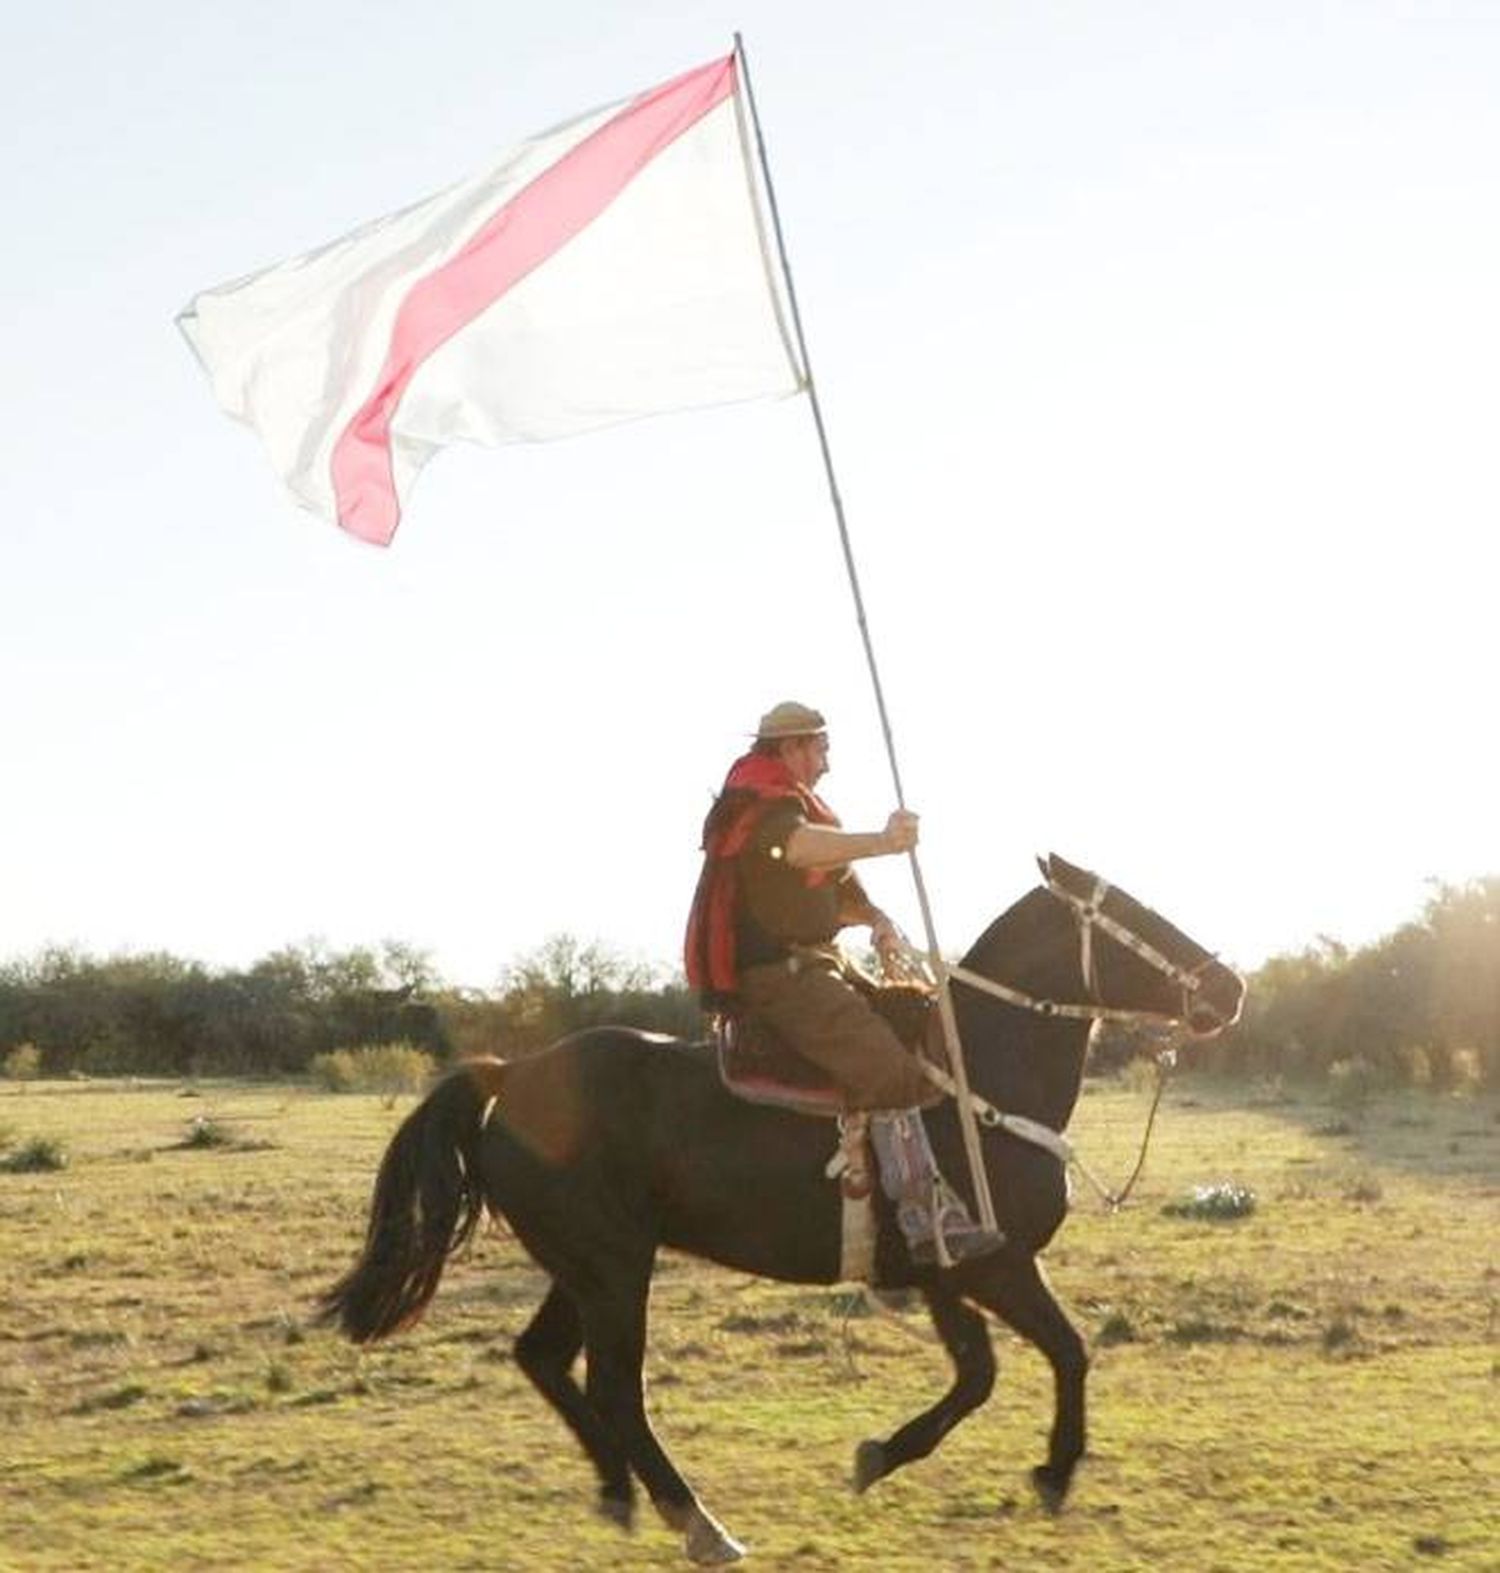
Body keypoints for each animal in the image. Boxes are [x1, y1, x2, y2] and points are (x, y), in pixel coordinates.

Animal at [322, 862, 1245, 1560]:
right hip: (613, 1267)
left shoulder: (943, 1267)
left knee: (542, 1357)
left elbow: (979, 1371)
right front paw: (1054, 1469)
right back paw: (697, 1521)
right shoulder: (996, 1263)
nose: (1230, 986)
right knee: (615, 1385)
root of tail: (511, 1075)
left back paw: (619, 1490)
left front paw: (883, 1453)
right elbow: (1067, 1349)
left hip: (584, 1266)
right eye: (1134, 914)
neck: (971, 1074)